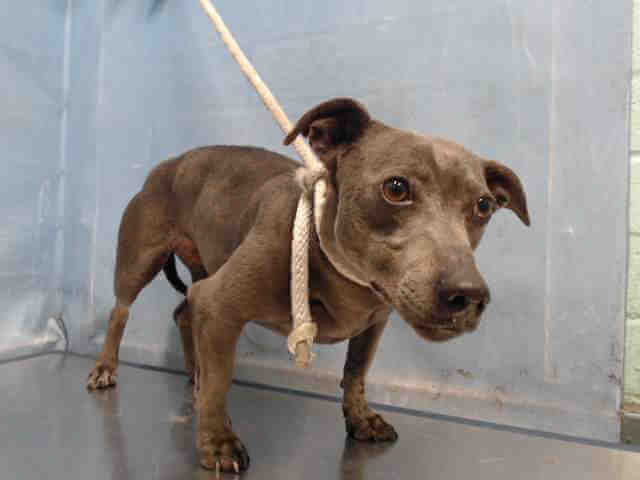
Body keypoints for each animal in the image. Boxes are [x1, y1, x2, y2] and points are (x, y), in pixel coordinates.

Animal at [87, 98, 529, 472]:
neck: (341, 271)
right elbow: (219, 383)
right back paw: (106, 367)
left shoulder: (373, 323)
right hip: (139, 264)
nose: (468, 294)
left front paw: (360, 417)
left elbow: (355, 372)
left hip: (203, 270)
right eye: (396, 188)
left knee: (183, 312)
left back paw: (194, 370)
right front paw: (217, 442)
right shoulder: (218, 305)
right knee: (120, 312)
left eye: (484, 206)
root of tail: (166, 164)